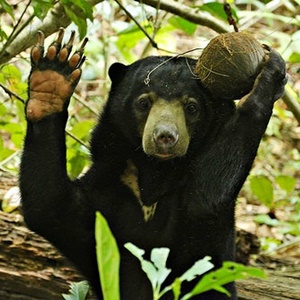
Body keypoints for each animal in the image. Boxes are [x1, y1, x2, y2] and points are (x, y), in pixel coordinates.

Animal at [19, 27, 288, 298]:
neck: (156, 171)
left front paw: (268, 77)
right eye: (144, 102)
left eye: (192, 107)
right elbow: (50, 205)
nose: (165, 137)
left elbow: (206, 197)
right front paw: (53, 76)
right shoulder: (107, 188)